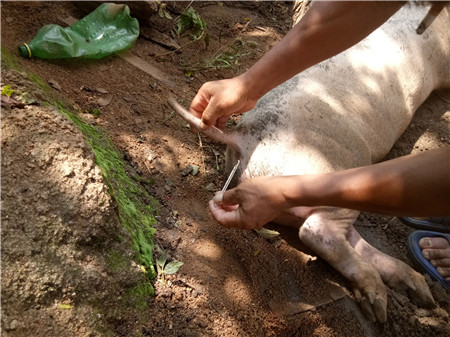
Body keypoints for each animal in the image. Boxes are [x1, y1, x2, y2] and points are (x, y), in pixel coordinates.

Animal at [169, 3, 450, 322]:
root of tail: (240, 136)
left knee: (343, 236)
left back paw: (420, 293)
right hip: (335, 171)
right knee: (317, 232)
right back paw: (380, 308)